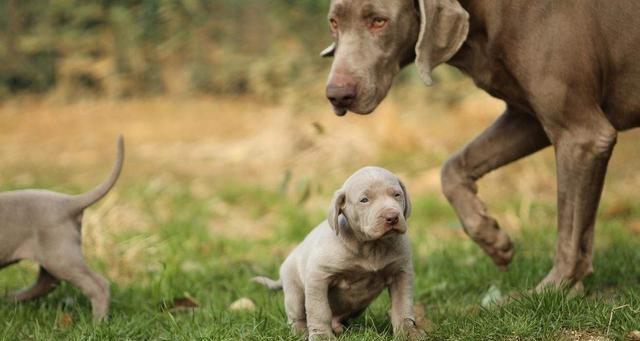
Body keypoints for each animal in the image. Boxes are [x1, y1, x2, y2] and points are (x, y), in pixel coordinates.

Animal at [0, 135, 125, 318]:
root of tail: (68, 202)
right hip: (54, 253)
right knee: (47, 282)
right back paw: (12, 299)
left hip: (60, 255)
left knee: (97, 285)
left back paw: (98, 322)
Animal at [254, 167, 424, 340]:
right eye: (364, 200)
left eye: (397, 195)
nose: (392, 217)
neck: (372, 247)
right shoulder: (318, 276)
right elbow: (319, 310)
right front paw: (322, 336)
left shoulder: (401, 273)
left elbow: (402, 306)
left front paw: (408, 333)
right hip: (293, 289)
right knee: (297, 316)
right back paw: (301, 333)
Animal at [322, 0, 640, 292]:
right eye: (334, 22)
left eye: (379, 21)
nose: (337, 95)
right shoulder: (527, 118)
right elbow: (452, 168)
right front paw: (494, 240)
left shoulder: (581, 134)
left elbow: (570, 227)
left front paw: (554, 288)